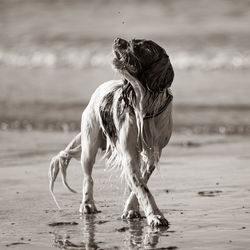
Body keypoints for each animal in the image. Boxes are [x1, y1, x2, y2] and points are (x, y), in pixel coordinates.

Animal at [48, 38, 174, 228]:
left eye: (139, 45)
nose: (117, 40)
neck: (144, 105)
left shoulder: (152, 155)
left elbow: (140, 183)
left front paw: (131, 208)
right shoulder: (129, 154)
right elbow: (142, 188)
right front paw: (155, 216)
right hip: (89, 146)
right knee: (88, 177)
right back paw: (87, 204)